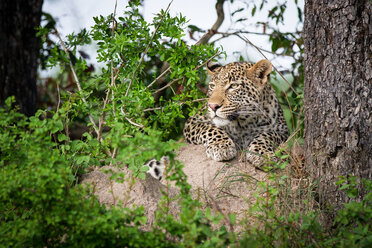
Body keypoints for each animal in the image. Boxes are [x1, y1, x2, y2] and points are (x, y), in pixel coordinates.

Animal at [144, 59, 290, 180]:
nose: (213, 106)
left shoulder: (283, 131)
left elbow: (266, 135)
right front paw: (221, 147)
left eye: (233, 86)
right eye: (212, 86)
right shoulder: (193, 122)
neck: (242, 123)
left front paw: (261, 155)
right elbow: (211, 128)